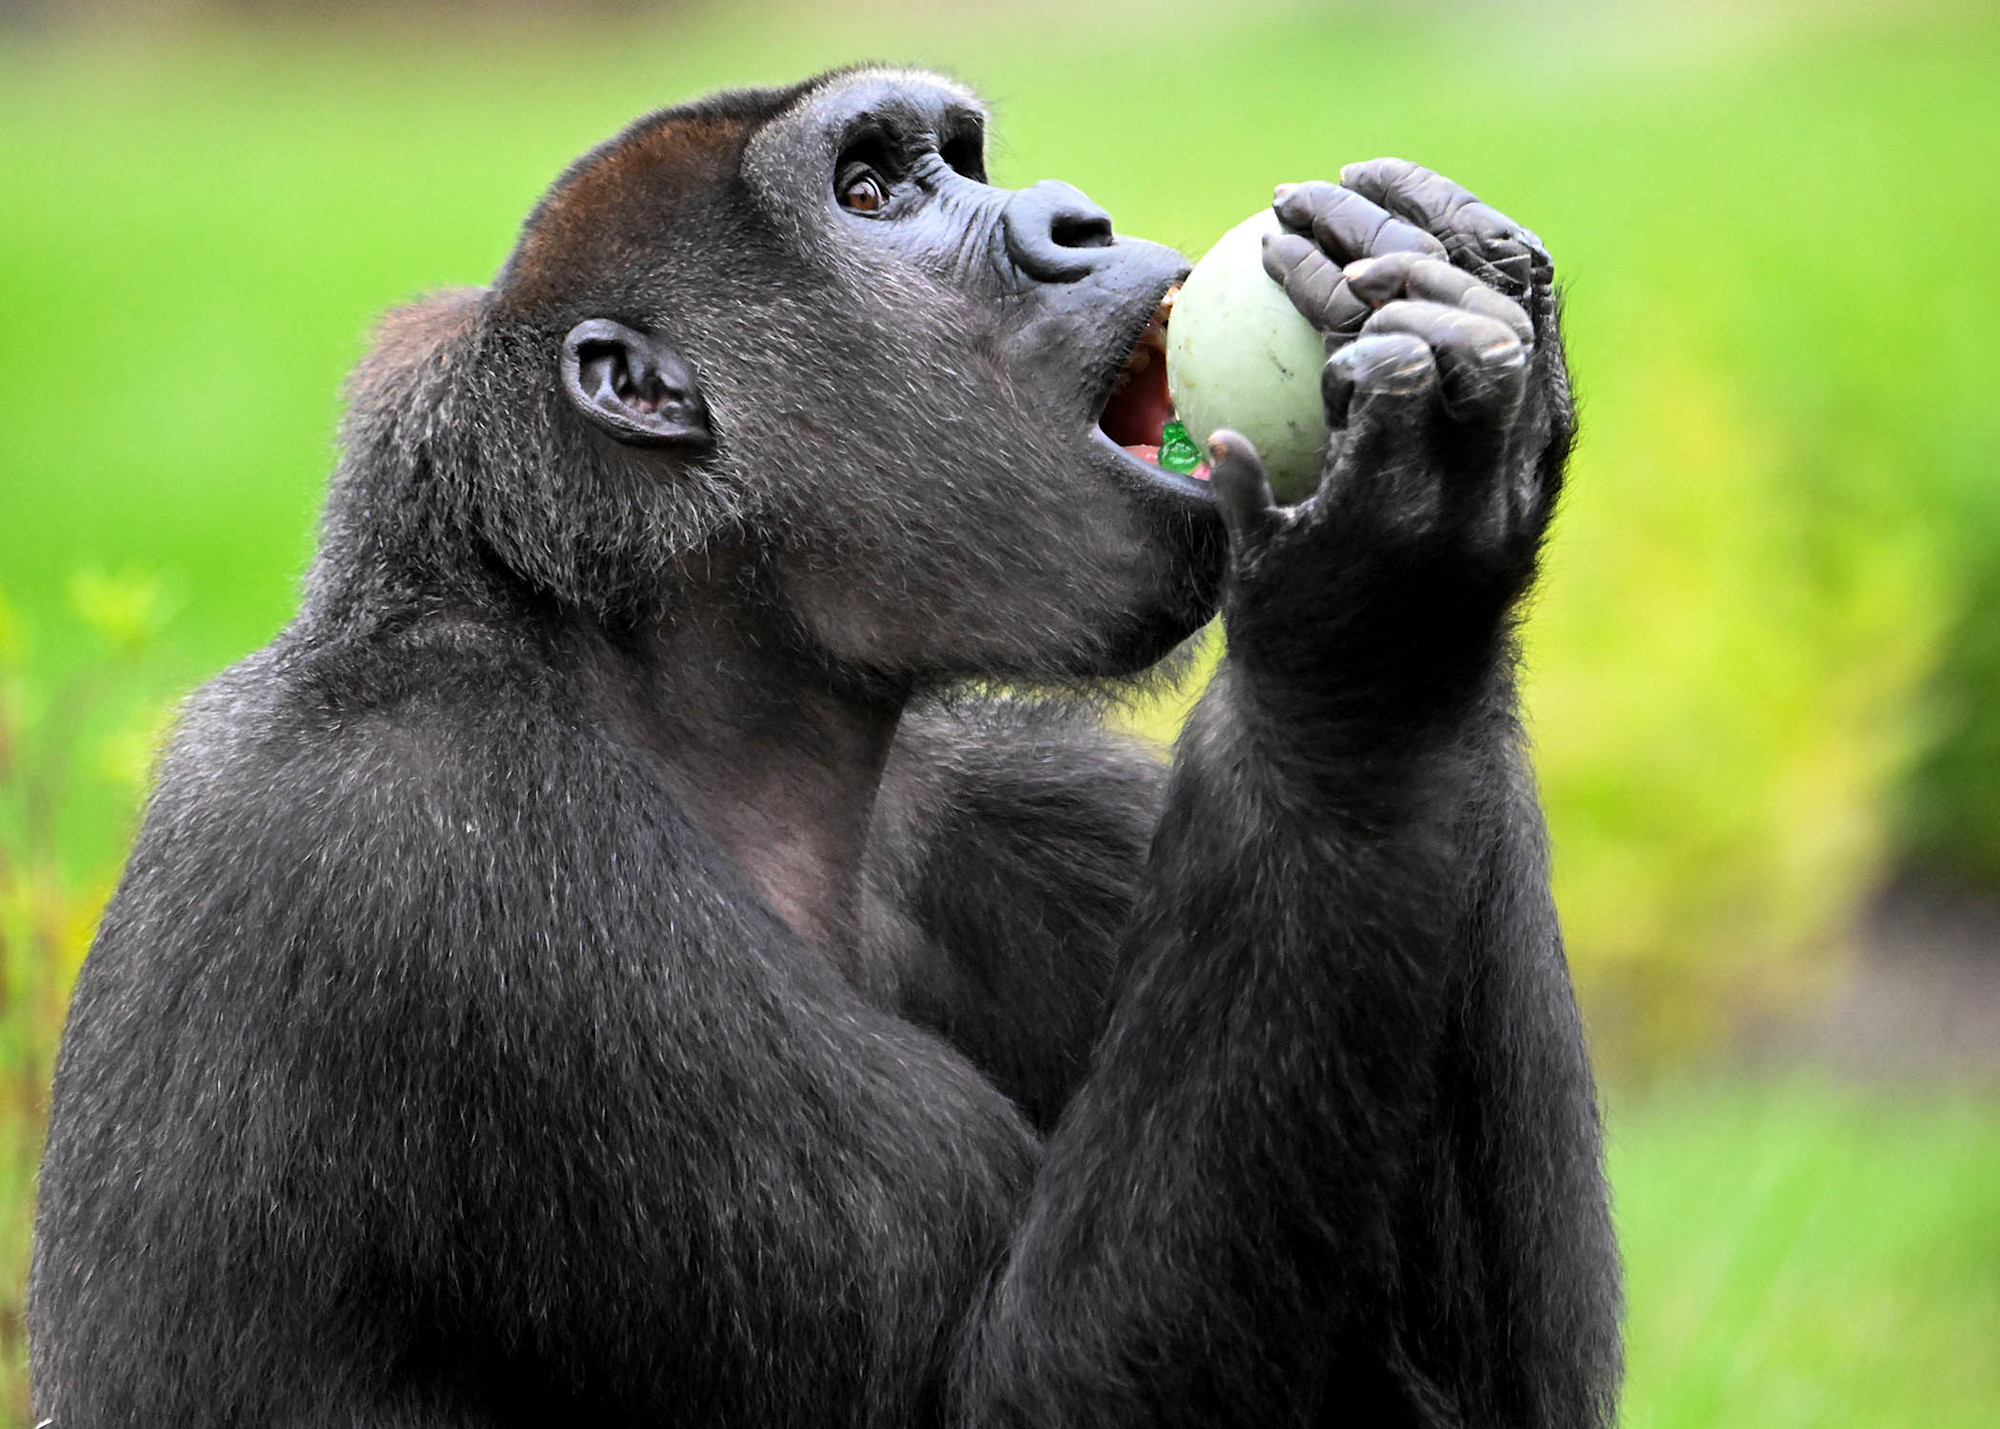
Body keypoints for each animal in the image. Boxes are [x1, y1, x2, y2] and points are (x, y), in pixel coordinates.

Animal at [30, 67, 1619, 1429]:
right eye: (869, 193)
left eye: (957, 160)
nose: (1076, 221)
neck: (664, 669)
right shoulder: (451, 861)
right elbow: (1012, 1395)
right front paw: (1382, 608)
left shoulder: (1036, 805)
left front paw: (1482, 344)